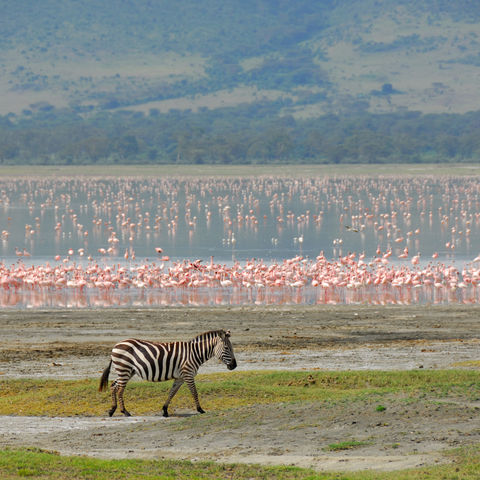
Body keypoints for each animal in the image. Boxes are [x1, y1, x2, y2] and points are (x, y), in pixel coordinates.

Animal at [99, 330, 236, 416]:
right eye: (226, 348)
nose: (234, 365)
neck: (194, 353)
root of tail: (116, 345)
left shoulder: (180, 378)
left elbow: (172, 393)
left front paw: (165, 410)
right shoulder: (188, 374)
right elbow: (194, 392)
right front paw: (200, 409)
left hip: (127, 371)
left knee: (113, 386)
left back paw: (112, 410)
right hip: (124, 369)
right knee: (120, 390)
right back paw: (125, 412)